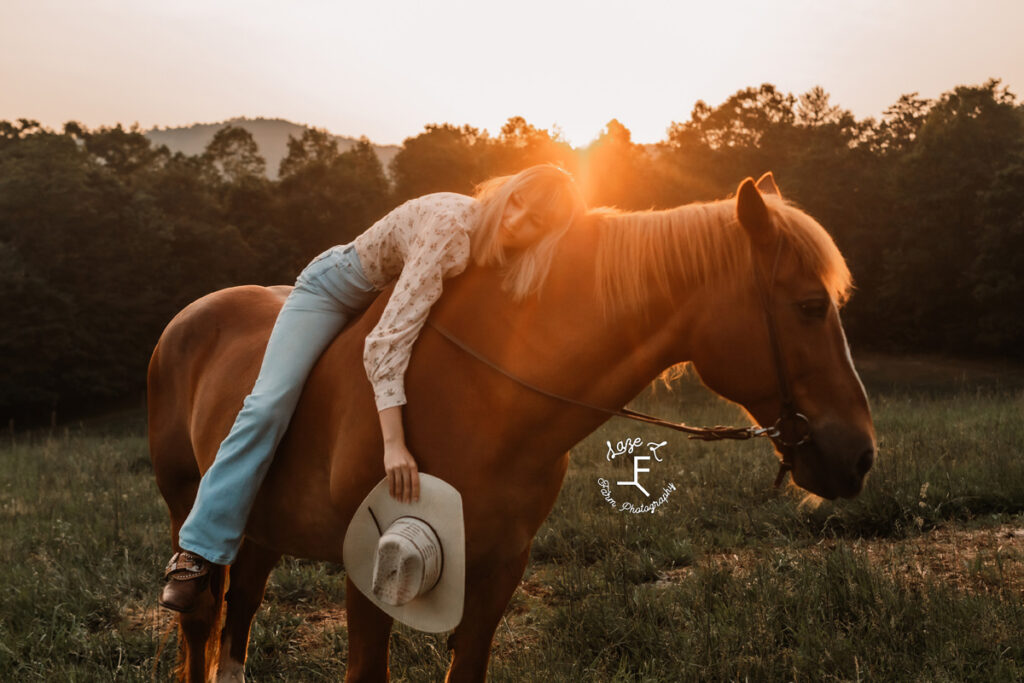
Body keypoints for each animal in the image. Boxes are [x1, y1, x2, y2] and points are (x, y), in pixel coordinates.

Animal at [149, 176, 872, 683]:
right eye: (810, 305)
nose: (860, 454)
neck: (485, 393)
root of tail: (188, 318)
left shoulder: (500, 564)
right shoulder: (369, 569)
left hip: (263, 530)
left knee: (239, 616)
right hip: (187, 501)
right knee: (204, 614)